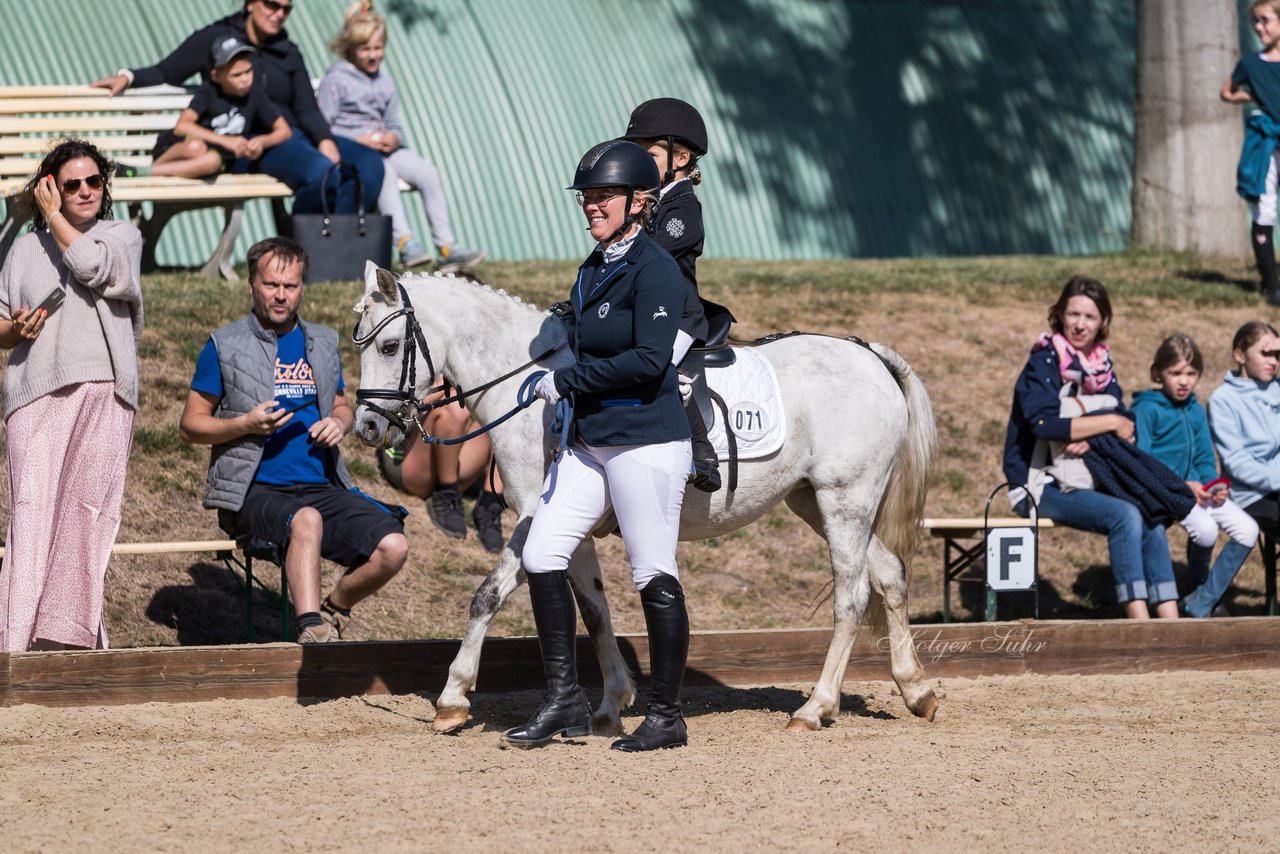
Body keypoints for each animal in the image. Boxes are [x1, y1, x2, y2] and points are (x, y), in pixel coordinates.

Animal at [350, 263, 942, 732]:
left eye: (388, 346)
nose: (367, 427)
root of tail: (868, 354)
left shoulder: (536, 517)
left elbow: (487, 597)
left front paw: (452, 698)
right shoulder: (571, 524)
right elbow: (593, 610)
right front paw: (612, 701)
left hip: (845, 500)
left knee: (852, 595)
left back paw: (815, 708)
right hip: (815, 501)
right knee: (889, 574)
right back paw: (916, 690)